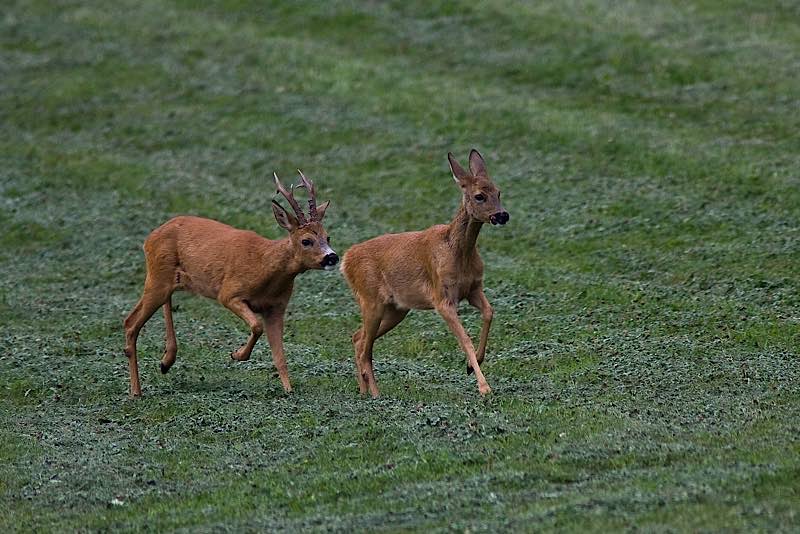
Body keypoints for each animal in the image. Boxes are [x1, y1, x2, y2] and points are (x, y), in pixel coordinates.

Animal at [122, 172, 338, 398]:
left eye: (328, 236)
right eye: (306, 241)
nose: (332, 257)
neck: (264, 266)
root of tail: (149, 238)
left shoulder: (276, 307)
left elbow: (280, 356)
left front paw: (288, 390)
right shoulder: (229, 293)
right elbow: (256, 326)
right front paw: (237, 354)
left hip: (166, 279)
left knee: (159, 305)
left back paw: (166, 362)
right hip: (157, 277)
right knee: (130, 323)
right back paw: (136, 391)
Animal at [340, 150, 510, 398]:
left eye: (498, 191)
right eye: (479, 196)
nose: (502, 215)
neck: (459, 253)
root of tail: (345, 260)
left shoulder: (474, 288)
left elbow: (489, 312)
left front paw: (473, 364)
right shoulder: (442, 298)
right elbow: (465, 339)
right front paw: (484, 386)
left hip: (396, 309)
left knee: (358, 338)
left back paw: (364, 391)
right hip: (371, 299)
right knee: (365, 347)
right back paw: (375, 394)